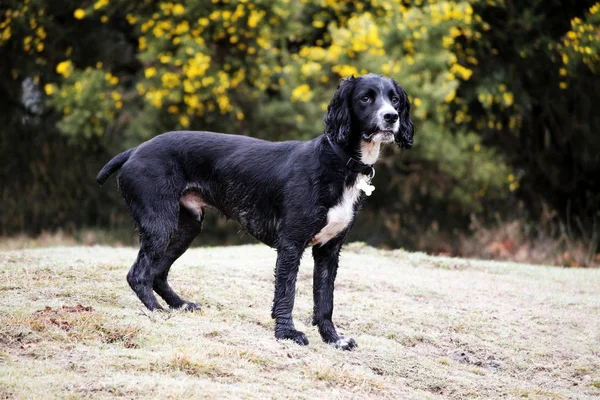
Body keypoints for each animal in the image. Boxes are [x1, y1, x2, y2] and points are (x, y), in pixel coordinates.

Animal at [96, 73, 412, 348]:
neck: (337, 161)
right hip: (159, 223)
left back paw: (179, 304)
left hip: (187, 226)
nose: (391, 117)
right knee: (138, 274)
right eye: (365, 98)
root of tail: (134, 151)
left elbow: (325, 300)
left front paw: (333, 339)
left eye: (394, 99)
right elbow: (286, 292)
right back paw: (157, 311)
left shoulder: (329, 250)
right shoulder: (291, 244)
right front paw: (287, 334)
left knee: (158, 272)